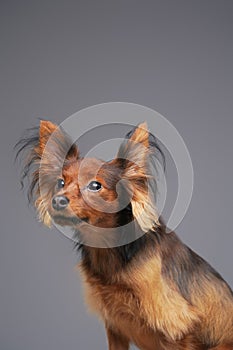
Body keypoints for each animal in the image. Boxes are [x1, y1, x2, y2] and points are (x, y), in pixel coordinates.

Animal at [16, 121, 233, 350]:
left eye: (95, 185)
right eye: (60, 183)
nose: (57, 200)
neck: (113, 250)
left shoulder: (177, 328)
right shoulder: (115, 327)